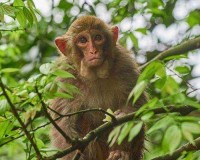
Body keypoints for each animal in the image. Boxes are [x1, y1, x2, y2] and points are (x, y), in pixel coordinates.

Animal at [50, 15, 147, 160]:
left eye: (97, 37)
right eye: (83, 40)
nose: (93, 51)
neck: (95, 76)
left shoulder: (125, 65)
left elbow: (136, 106)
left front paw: (122, 116)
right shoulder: (65, 78)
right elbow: (64, 125)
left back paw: (120, 153)